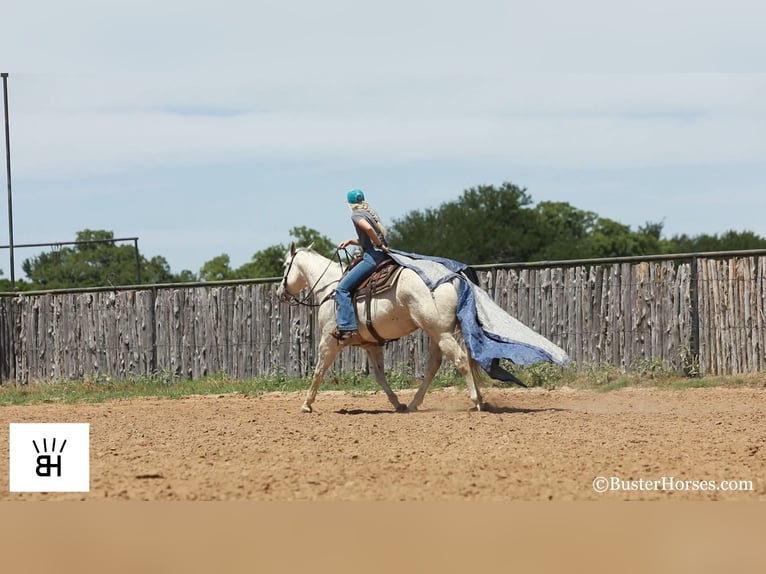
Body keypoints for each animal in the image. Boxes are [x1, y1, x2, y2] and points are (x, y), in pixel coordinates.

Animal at [280, 245, 488, 416]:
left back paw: (477, 400)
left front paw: (306, 404)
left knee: (461, 360)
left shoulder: (328, 341)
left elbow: (319, 370)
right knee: (434, 365)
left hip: (441, 333)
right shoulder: (371, 345)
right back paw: (414, 404)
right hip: (436, 333)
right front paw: (397, 404)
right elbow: (380, 377)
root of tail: (452, 278)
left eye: (285, 265)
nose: (280, 293)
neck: (331, 289)